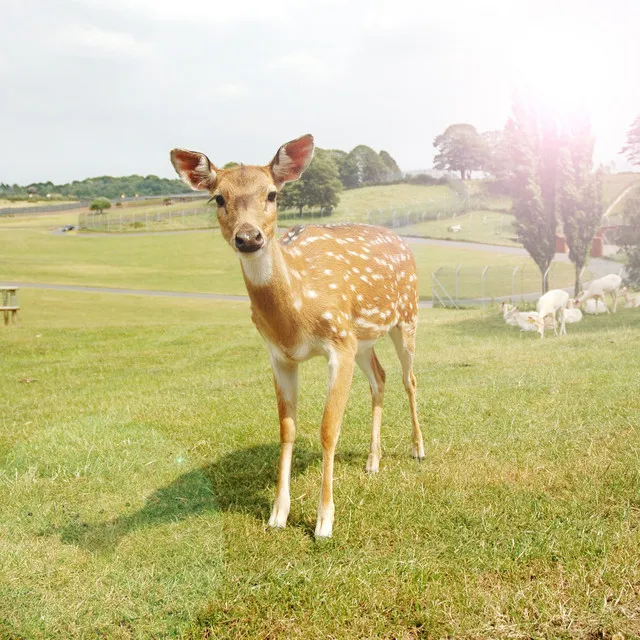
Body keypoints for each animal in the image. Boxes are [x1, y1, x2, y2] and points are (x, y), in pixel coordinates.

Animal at [169, 136, 424, 540]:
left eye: (272, 193)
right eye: (219, 198)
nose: (249, 237)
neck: (297, 317)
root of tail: (402, 240)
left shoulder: (339, 342)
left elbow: (328, 429)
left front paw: (324, 520)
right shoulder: (281, 355)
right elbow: (286, 429)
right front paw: (277, 513)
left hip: (407, 317)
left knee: (409, 378)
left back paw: (418, 449)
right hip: (363, 339)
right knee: (380, 378)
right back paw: (372, 460)